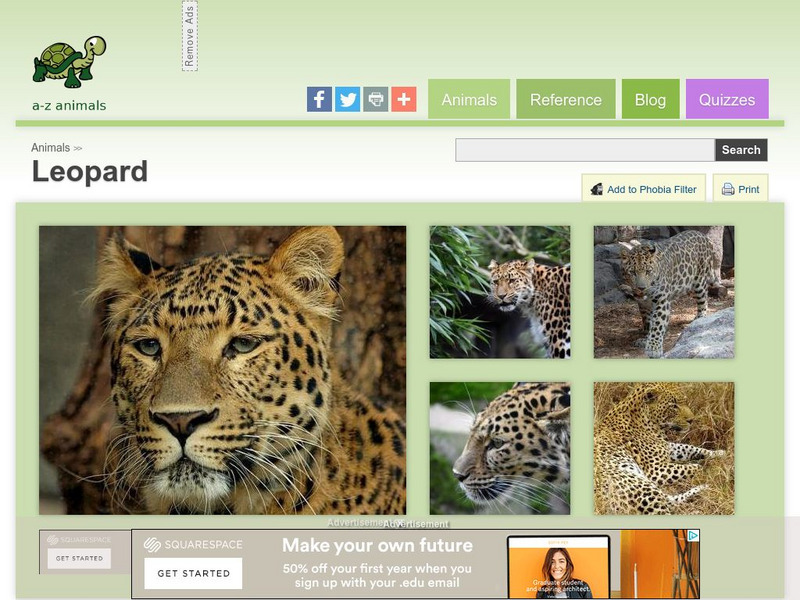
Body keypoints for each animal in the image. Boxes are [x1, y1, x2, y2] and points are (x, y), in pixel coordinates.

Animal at [593, 382, 724, 515]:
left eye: (684, 401)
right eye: (674, 406)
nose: (691, 420)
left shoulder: (666, 446)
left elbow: (688, 447)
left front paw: (719, 453)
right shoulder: (655, 469)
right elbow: (696, 467)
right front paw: (708, 468)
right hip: (640, 488)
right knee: (668, 506)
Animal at [620, 230, 719, 358]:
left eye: (648, 271)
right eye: (632, 272)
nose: (641, 288)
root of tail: (703, 235)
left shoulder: (661, 299)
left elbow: (657, 324)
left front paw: (653, 348)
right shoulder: (643, 305)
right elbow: (648, 323)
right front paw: (645, 340)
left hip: (699, 281)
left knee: (703, 299)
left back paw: (700, 319)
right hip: (688, 284)